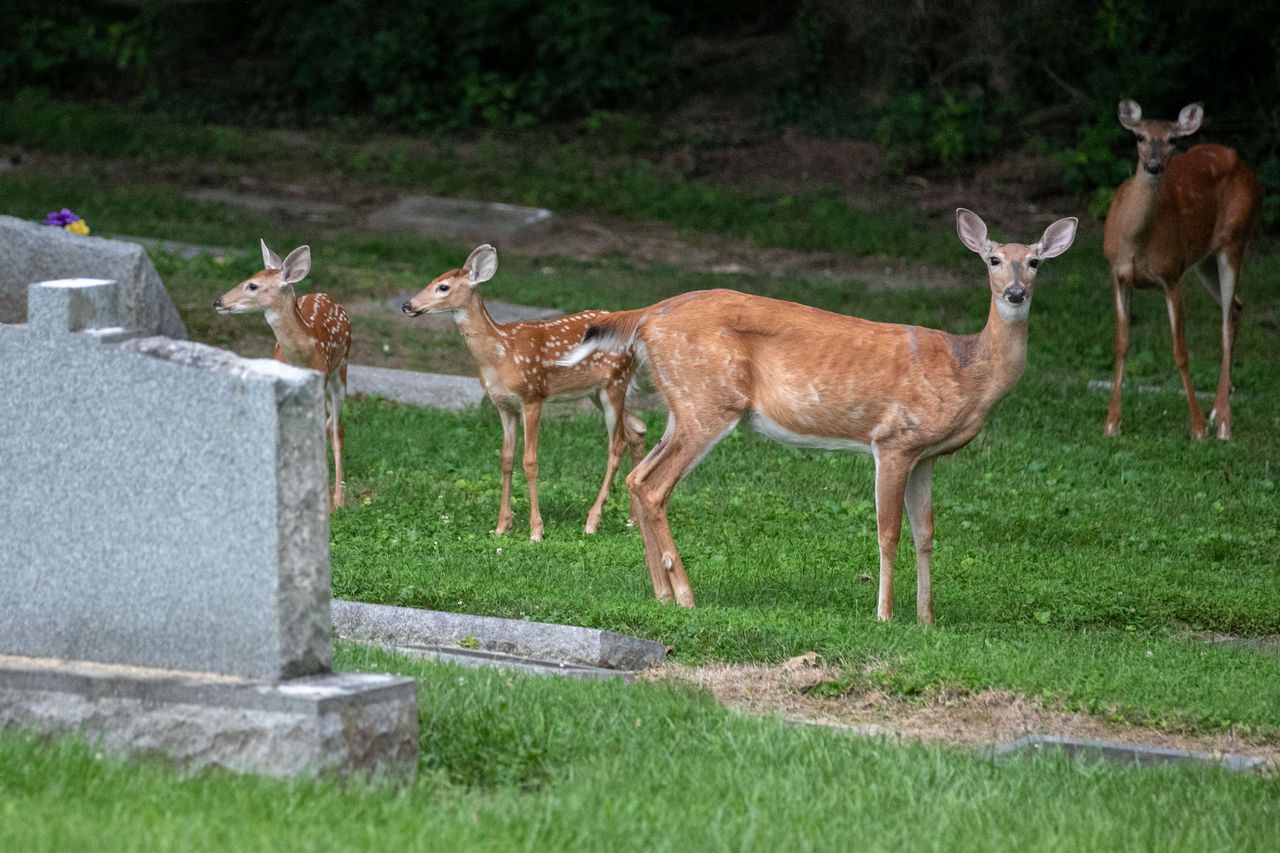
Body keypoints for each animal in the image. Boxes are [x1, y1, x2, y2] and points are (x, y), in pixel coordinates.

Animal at [215, 235, 353, 507]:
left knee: (336, 428)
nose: (218, 302)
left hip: (341, 369)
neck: (302, 354)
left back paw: (338, 499)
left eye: (253, 286)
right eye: (248, 278)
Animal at [401, 244, 645, 537]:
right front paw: (501, 526)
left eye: (443, 287)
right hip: (597, 391)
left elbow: (530, 462)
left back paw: (593, 520)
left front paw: (536, 530)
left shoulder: (532, 396)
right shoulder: (504, 405)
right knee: (637, 429)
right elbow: (506, 459)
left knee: (617, 444)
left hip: (614, 385)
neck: (500, 354)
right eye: (432, 280)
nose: (407, 305)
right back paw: (633, 518)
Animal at [565, 206, 1075, 617]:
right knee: (655, 488)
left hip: (684, 403)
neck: (968, 371)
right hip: (709, 402)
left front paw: (926, 619)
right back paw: (687, 596)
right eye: (993, 259)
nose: (1014, 292)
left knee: (639, 478)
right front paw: (885, 616)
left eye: (1035, 262)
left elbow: (926, 533)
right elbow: (888, 532)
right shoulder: (894, 439)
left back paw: (663, 594)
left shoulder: (927, 454)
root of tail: (646, 316)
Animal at [1100, 99, 1259, 438]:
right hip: (1203, 261)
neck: (1135, 241)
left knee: (1225, 321)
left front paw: (1197, 428)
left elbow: (1181, 351)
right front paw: (1112, 422)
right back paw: (1219, 406)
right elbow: (1121, 344)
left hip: (1235, 240)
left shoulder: (1172, 275)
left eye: (1172, 139)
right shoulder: (1118, 275)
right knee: (1237, 307)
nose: (1154, 165)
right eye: (1140, 136)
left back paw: (1222, 421)